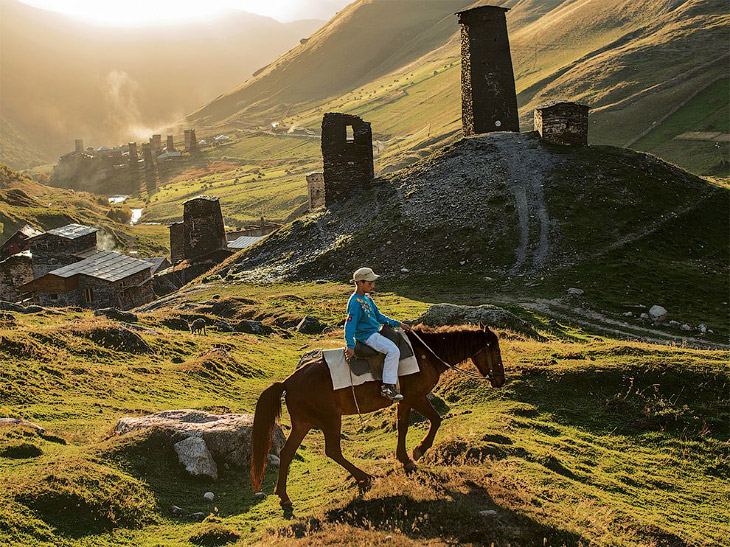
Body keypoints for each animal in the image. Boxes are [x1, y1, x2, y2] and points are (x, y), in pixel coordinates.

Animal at [249, 324, 500, 508]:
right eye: (496, 351)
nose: (501, 380)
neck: (426, 355)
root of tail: (288, 382)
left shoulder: (410, 399)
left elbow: (415, 424)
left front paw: (408, 457)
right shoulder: (413, 398)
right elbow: (426, 422)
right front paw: (415, 453)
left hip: (304, 423)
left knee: (287, 453)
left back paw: (284, 496)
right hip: (330, 420)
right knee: (332, 451)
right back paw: (364, 476)